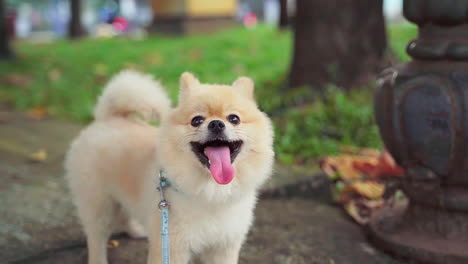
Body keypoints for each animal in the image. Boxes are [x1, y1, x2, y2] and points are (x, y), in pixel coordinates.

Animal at [64, 70, 272, 264]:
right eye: (196, 120)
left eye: (234, 118)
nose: (216, 124)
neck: (212, 193)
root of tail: (107, 118)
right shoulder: (172, 247)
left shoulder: (223, 246)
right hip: (98, 204)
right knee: (96, 237)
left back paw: (137, 230)